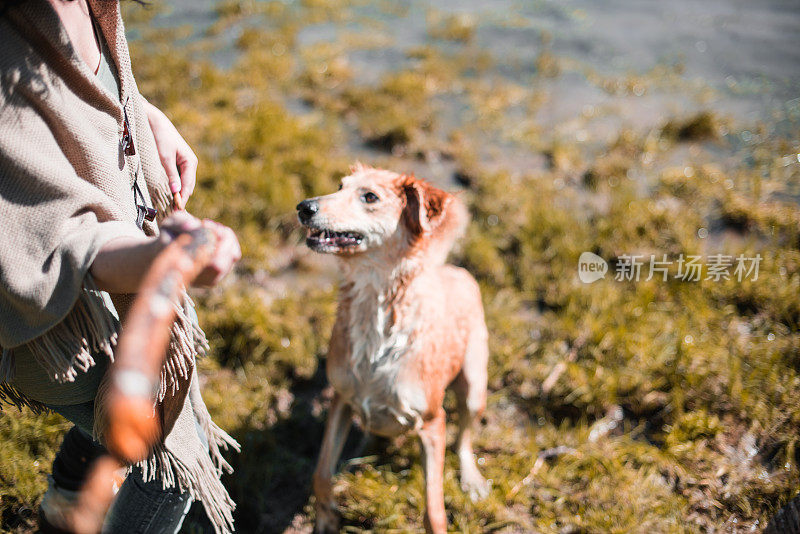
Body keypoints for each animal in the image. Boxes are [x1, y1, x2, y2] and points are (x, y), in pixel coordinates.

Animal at [296, 164, 490, 534]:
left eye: (370, 197)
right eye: (339, 186)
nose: (304, 207)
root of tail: (450, 269)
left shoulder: (432, 422)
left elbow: (434, 510)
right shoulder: (341, 399)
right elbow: (321, 474)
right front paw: (326, 518)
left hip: (474, 386)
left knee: (465, 439)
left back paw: (471, 477)